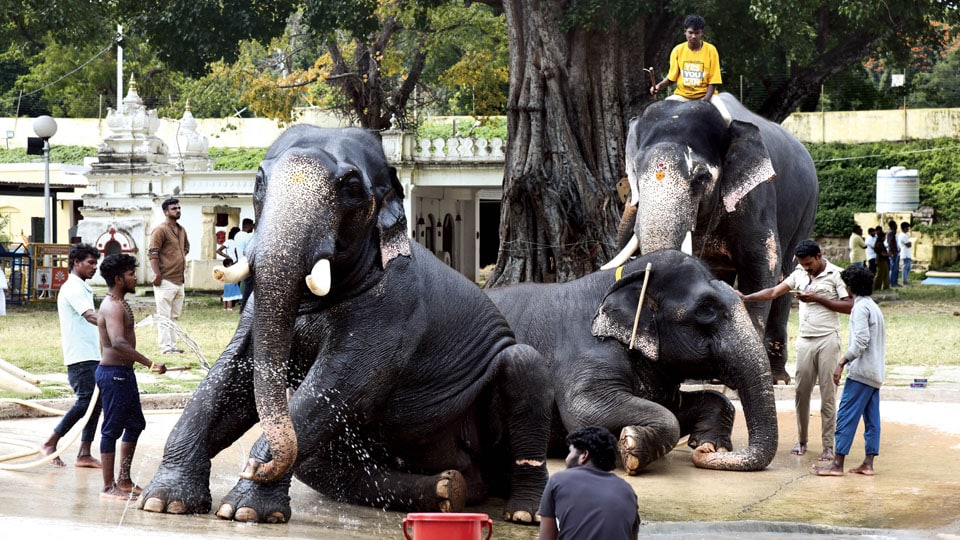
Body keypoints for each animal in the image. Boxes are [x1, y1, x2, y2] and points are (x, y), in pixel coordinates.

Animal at [139, 125, 552, 524]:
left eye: (351, 188)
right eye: (258, 181)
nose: (255, 466)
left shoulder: (393, 307)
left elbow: (342, 385)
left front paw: (244, 511)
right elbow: (233, 375)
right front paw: (164, 503)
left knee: (523, 363)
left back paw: (522, 511)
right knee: (320, 465)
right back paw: (448, 490)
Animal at [488, 249, 780, 472]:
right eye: (706, 309)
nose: (703, 455)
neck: (625, 274)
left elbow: (675, 404)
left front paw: (709, 445)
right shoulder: (584, 350)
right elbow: (584, 410)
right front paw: (631, 445)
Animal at [608, 92, 816, 384]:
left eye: (701, 177)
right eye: (635, 173)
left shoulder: (756, 197)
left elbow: (762, 266)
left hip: (807, 208)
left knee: (786, 273)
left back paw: (777, 377)